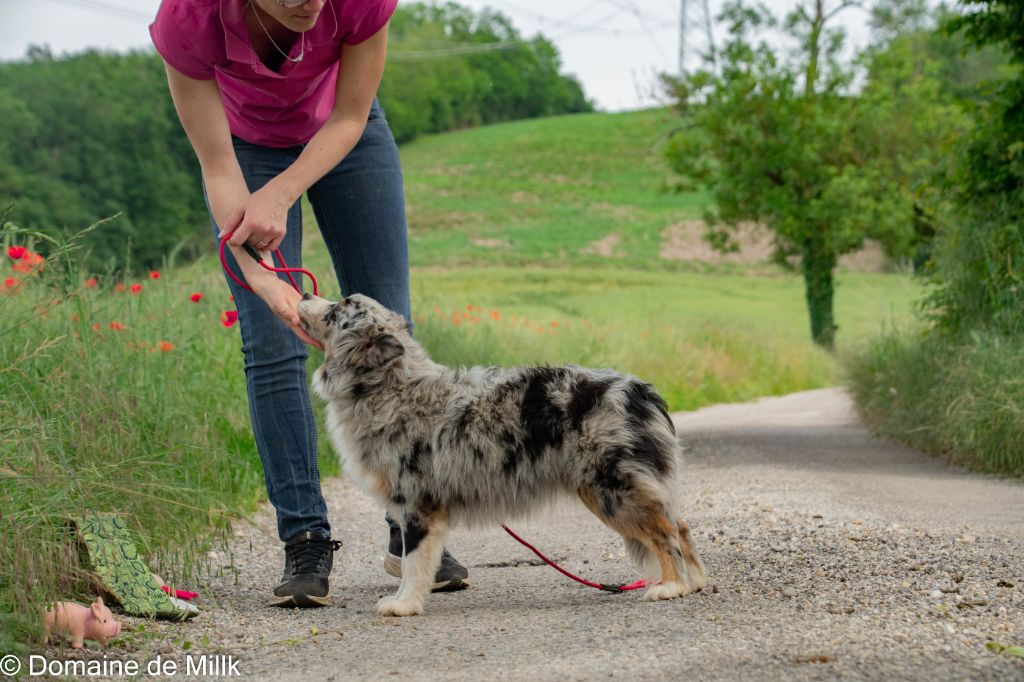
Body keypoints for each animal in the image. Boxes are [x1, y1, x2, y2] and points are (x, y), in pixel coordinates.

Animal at [296, 288, 704, 614]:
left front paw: (403, 604)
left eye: (336, 311)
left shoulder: (418, 504)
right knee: (680, 523)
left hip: (610, 490)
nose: (303, 293)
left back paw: (672, 585)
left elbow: (413, 563)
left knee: (665, 529)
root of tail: (640, 390)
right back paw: (695, 581)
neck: (389, 386)